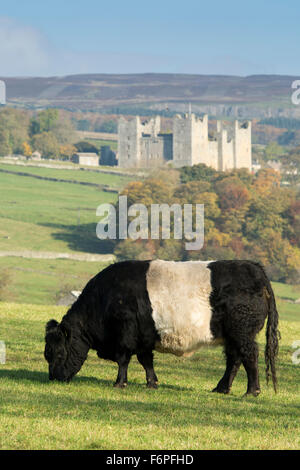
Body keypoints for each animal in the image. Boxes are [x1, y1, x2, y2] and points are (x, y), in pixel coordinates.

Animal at [43, 258, 280, 394]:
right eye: (47, 354)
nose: (54, 378)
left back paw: (251, 391)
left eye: (58, 352)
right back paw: (221, 389)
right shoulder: (144, 337)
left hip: (242, 332)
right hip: (232, 335)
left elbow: (124, 360)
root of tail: (255, 269)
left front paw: (120, 383)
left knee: (249, 356)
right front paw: (152, 383)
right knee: (234, 359)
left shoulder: (125, 335)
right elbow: (146, 360)